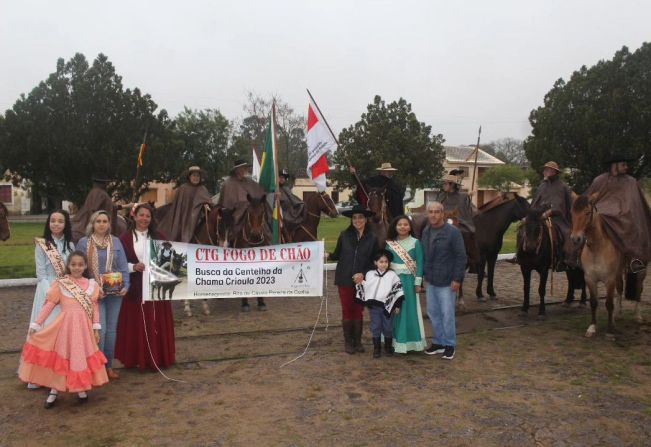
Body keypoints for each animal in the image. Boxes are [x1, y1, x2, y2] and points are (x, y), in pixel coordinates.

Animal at [572, 194, 628, 338]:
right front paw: (592, 328)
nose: (575, 239)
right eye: (572, 212)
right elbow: (593, 302)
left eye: (587, 212)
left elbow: (609, 303)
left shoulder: (609, 280)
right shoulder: (590, 279)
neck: (597, 248)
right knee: (620, 288)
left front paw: (609, 330)